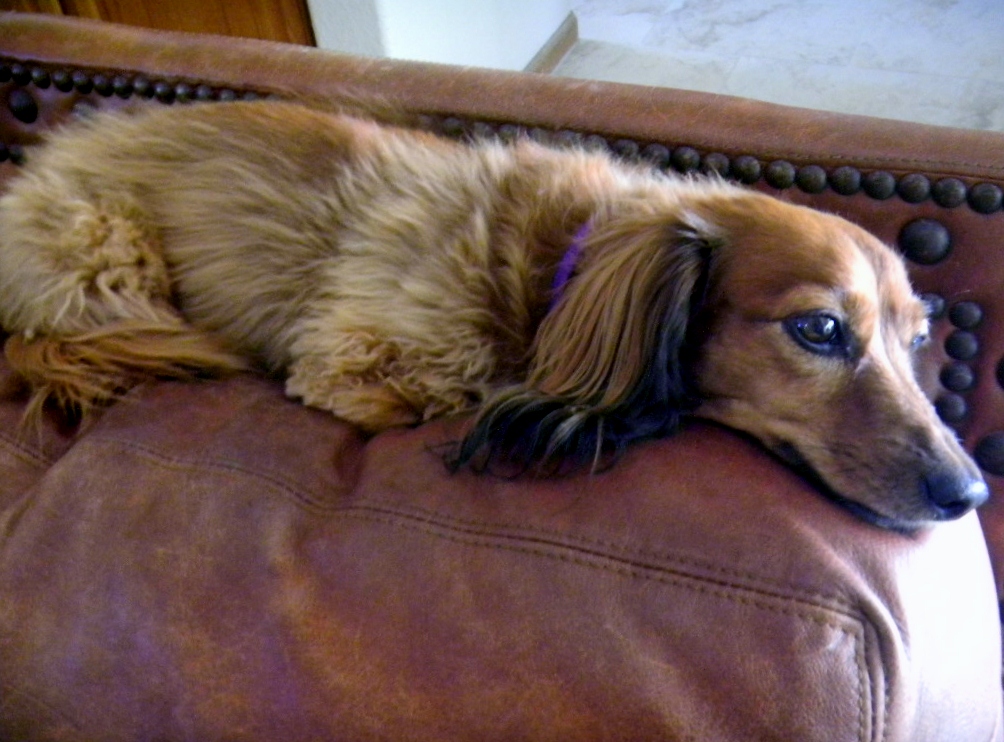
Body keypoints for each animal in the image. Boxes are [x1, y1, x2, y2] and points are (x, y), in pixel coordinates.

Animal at [0, 100, 988, 530]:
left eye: (917, 339)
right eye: (819, 330)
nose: (968, 493)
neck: (557, 266)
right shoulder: (357, 362)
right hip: (107, 253)